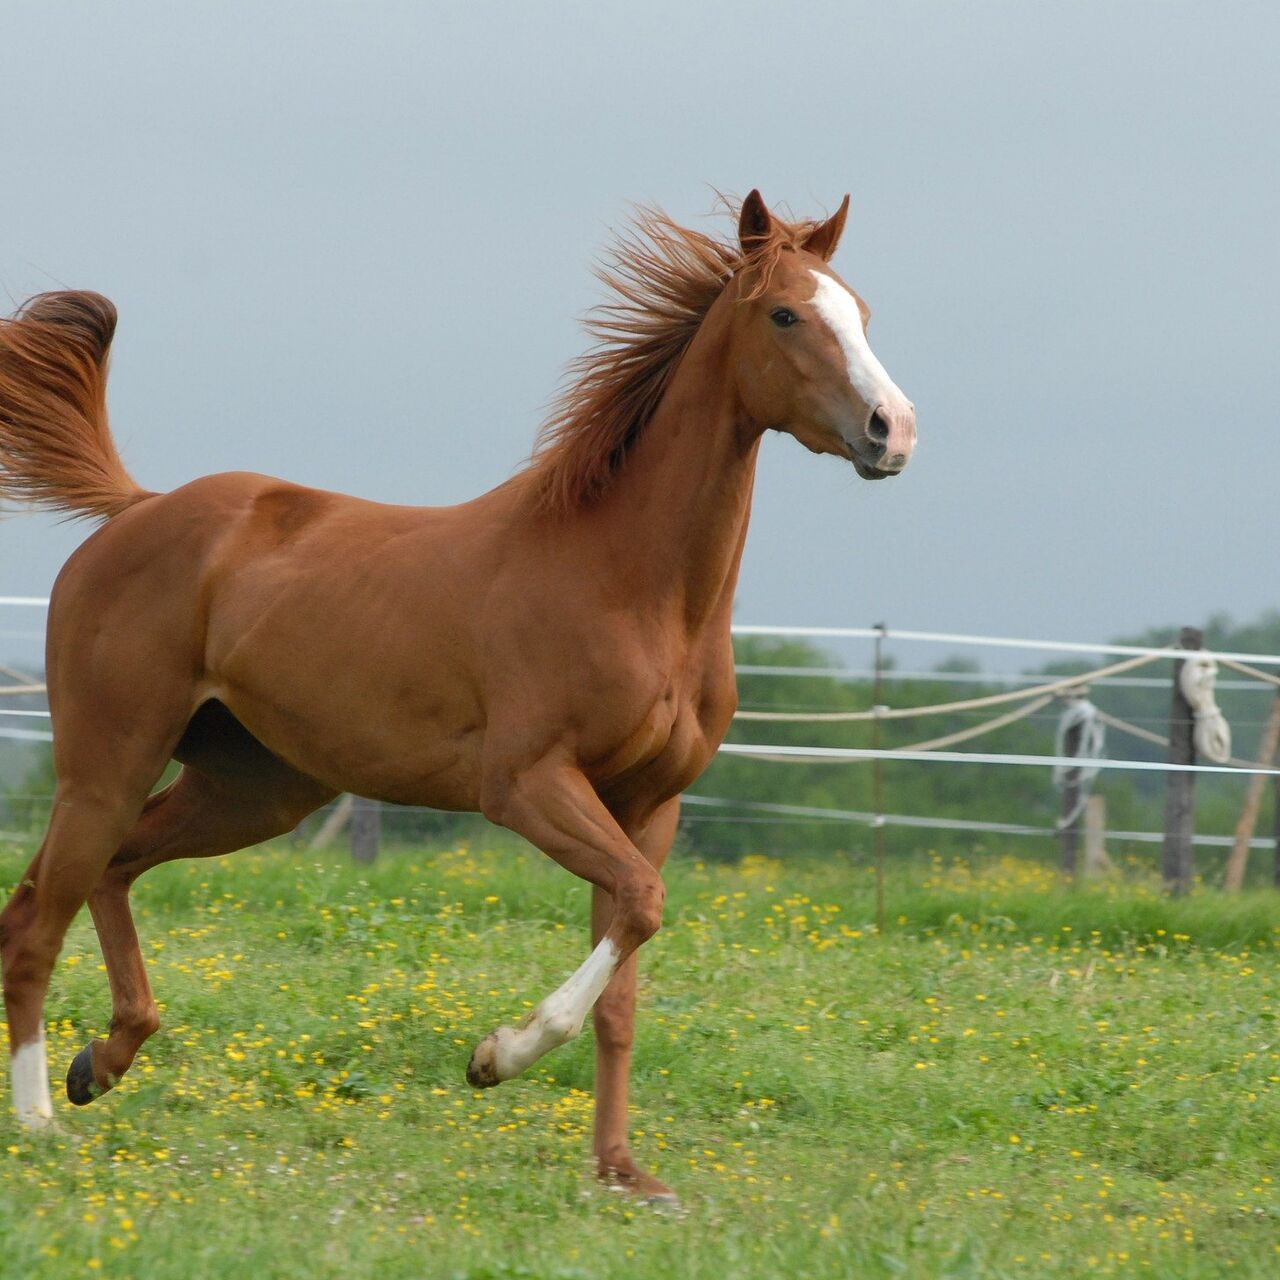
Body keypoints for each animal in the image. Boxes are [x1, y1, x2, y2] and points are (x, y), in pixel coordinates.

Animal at [5, 189, 916, 1198]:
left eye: (862, 313)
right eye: (786, 314)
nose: (893, 430)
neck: (631, 586)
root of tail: (135, 510)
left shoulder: (648, 806)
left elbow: (625, 983)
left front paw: (623, 1173)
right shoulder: (526, 785)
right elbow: (638, 908)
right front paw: (494, 1057)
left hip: (253, 789)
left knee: (107, 874)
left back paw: (102, 1062)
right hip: (109, 764)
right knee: (39, 917)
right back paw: (40, 1119)